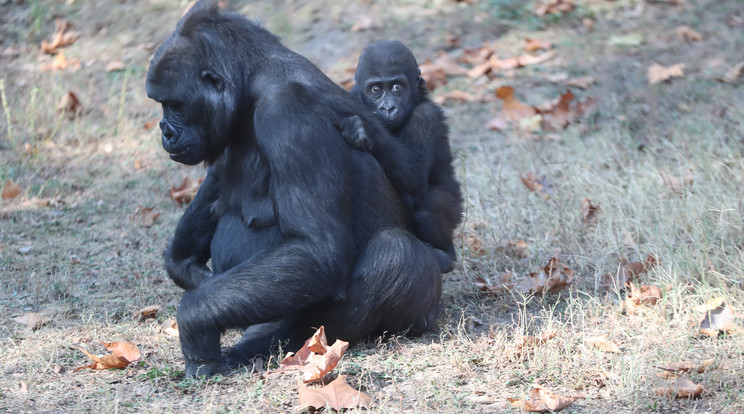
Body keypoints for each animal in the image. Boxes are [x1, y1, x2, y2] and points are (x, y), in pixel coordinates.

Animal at [145, 0, 442, 378]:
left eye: (174, 104)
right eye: (162, 103)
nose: (165, 130)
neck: (251, 83)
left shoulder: (287, 111)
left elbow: (316, 250)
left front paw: (195, 322)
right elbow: (216, 187)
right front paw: (182, 264)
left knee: (394, 253)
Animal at [346, 40, 462, 274]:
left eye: (397, 87)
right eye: (376, 89)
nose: (388, 108)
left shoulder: (426, 116)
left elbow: (414, 175)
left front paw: (368, 131)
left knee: (431, 204)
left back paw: (445, 253)